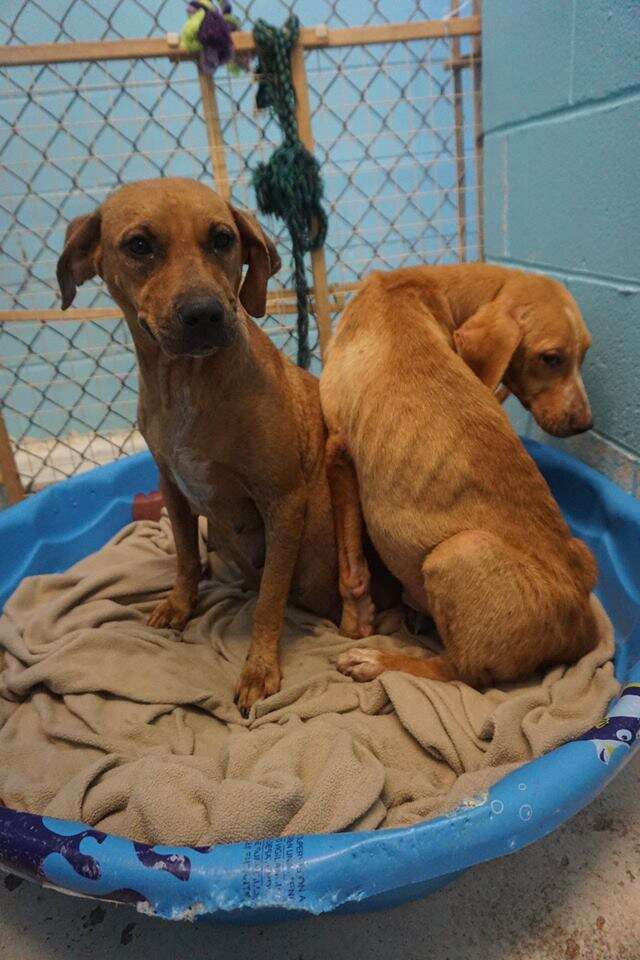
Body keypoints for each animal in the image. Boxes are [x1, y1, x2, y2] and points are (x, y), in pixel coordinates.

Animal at [57, 178, 342, 712]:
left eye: (222, 239)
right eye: (139, 245)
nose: (205, 313)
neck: (186, 384)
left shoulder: (283, 501)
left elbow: (270, 597)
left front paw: (259, 668)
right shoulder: (172, 486)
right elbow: (186, 556)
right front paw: (179, 603)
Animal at [322, 266, 596, 688]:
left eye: (581, 356)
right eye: (552, 358)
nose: (586, 424)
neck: (419, 285)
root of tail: (582, 624)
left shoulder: (338, 450)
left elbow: (351, 568)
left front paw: (354, 623)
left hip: (458, 551)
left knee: (457, 672)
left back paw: (379, 660)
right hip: (585, 553)